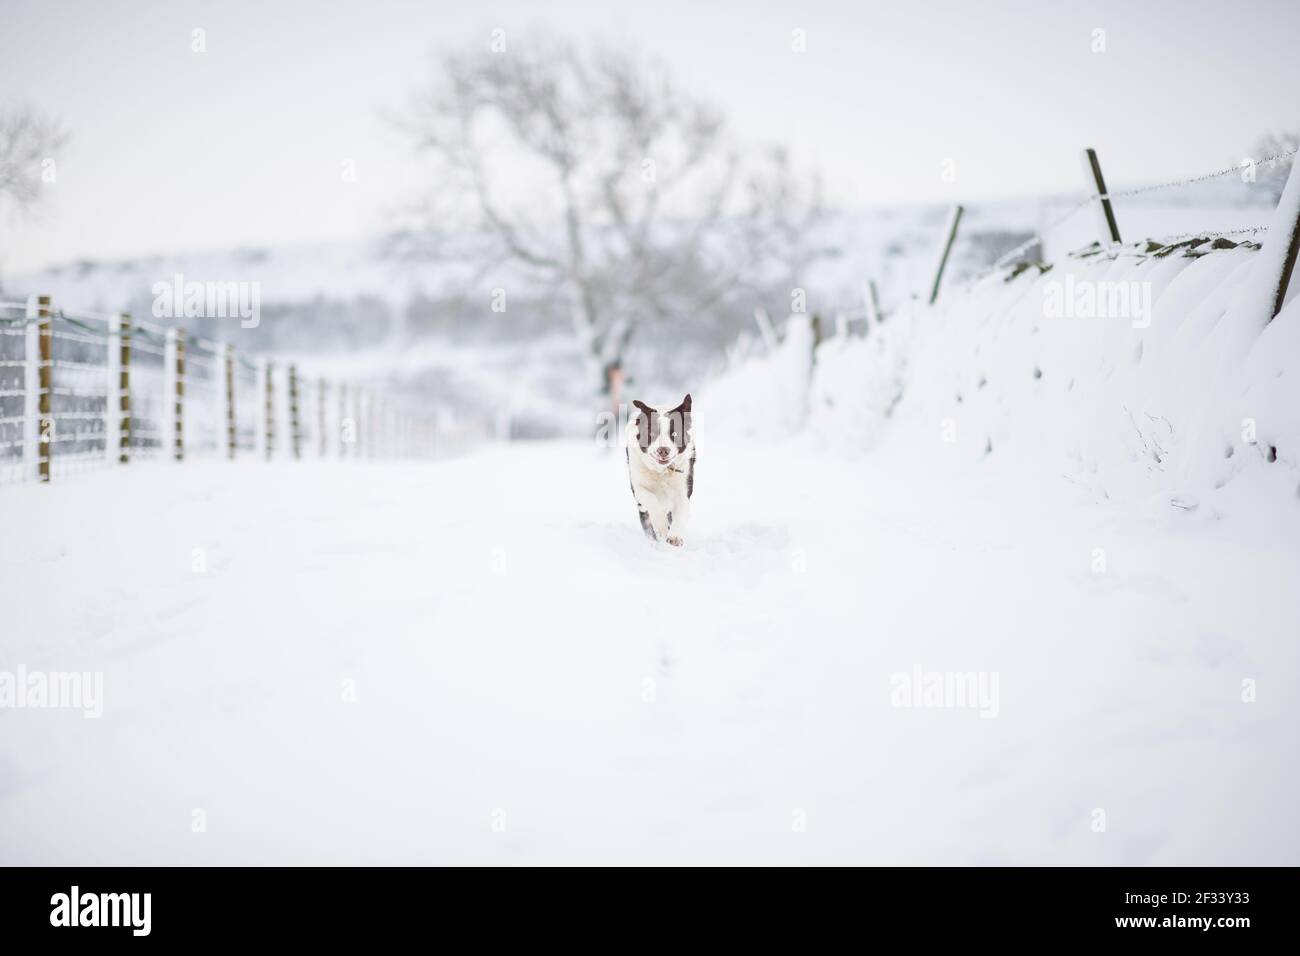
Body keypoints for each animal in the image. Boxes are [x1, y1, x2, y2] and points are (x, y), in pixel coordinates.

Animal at [626, 395, 696, 546]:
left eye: (675, 433)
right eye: (652, 433)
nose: (663, 450)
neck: (661, 472)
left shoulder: (683, 488)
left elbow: (680, 511)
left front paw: (675, 536)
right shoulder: (639, 488)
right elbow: (651, 500)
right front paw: (662, 527)